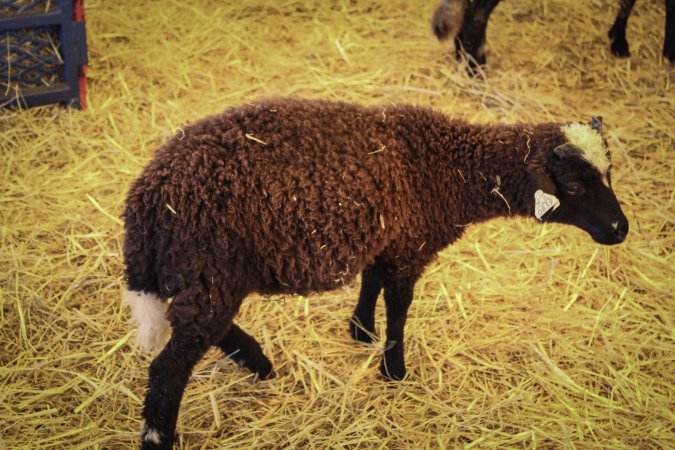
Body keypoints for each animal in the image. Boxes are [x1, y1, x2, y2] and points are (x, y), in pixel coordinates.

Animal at [121, 96, 628, 448]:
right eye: (575, 185)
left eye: (610, 173)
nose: (621, 230)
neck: (449, 169)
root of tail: (146, 201)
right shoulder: (409, 245)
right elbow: (399, 306)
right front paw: (394, 368)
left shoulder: (386, 237)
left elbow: (371, 282)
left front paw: (360, 331)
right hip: (210, 267)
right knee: (169, 369)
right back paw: (164, 431)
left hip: (204, 275)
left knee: (203, 328)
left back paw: (258, 362)